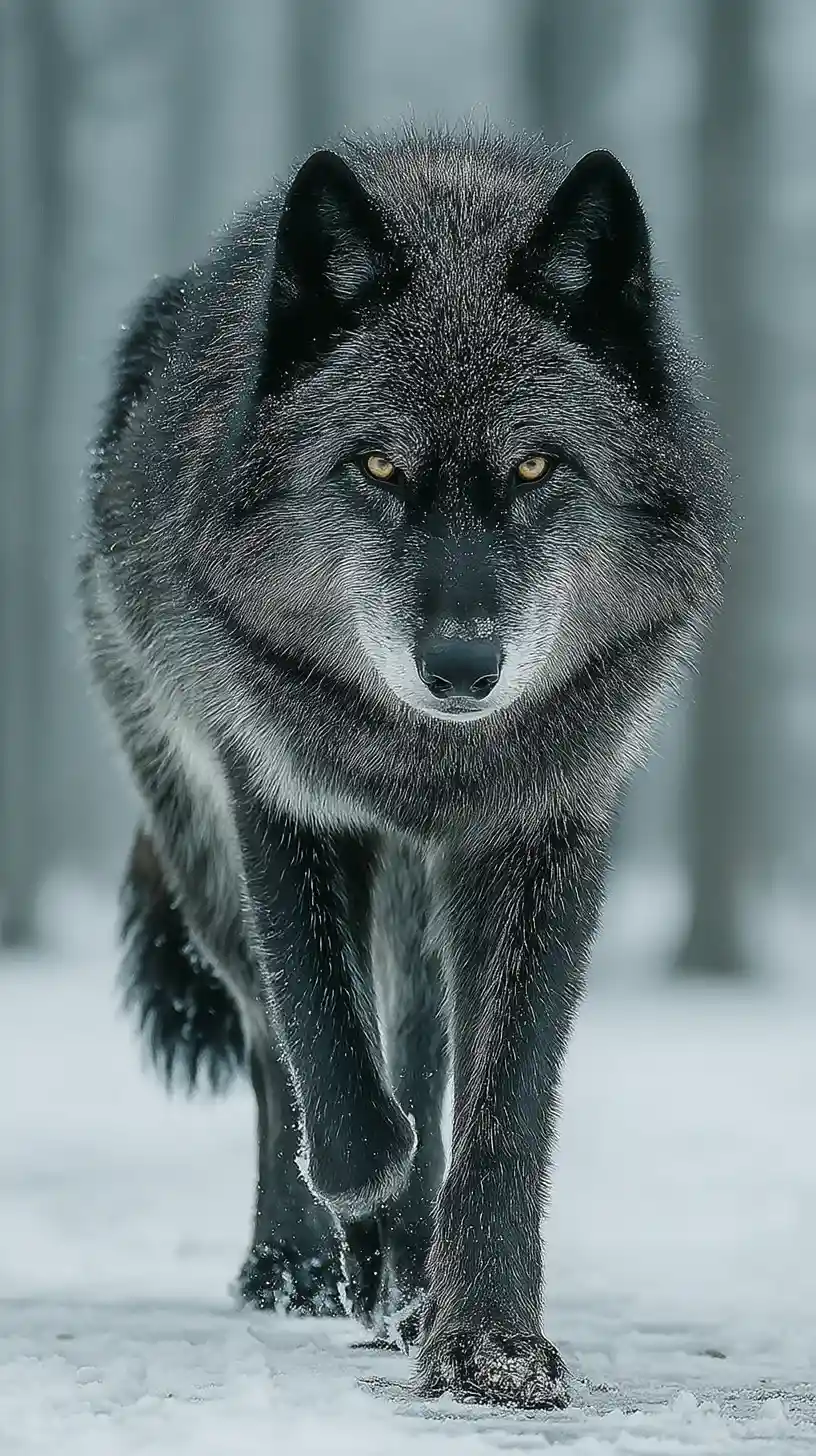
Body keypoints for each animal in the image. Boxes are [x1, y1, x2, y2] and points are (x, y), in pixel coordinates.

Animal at [79, 124, 729, 1409]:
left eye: (534, 470)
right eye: (376, 468)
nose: (464, 666)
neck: (428, 765)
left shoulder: (544, 831)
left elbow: (498, 1114)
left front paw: (487, 1340)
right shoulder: (279, 799)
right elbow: (341, 1085)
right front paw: (375, 1234)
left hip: (422, 910)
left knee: (420, 1047)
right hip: (210, 862)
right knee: (279, 1040)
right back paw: (302, 1265)